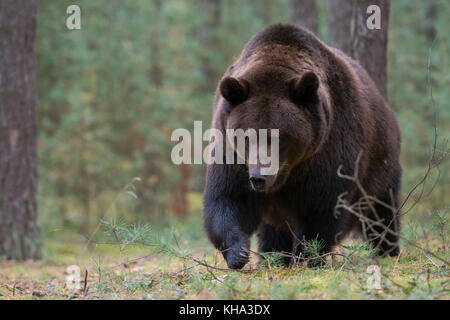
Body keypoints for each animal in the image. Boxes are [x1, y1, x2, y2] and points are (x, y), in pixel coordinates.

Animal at [203, 25, 400, 268]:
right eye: (247, 137)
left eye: (280, 137)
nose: (259, 178)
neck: (288, 173)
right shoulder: (233, 153)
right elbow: (228, 197)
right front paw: (238, 252)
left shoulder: (329, 147)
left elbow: (320, 210)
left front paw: (307, 256)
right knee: (274, 229)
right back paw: (274, 255)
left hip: (379, 165)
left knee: (380, 211)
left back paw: (387, 249)